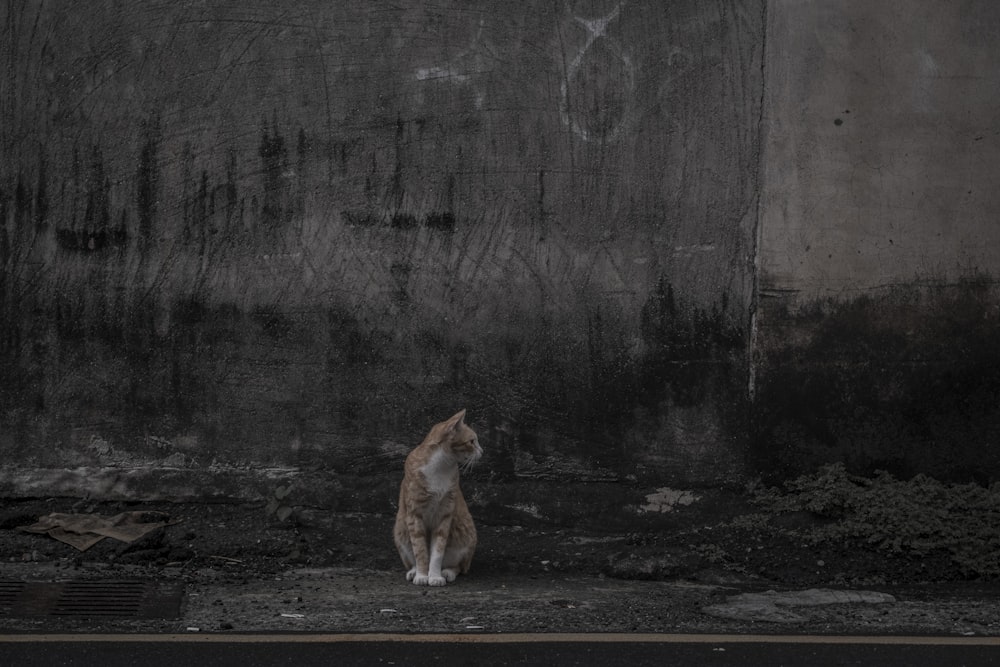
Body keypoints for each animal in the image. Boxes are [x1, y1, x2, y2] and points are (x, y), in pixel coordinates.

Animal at [392, 410, 482, 588]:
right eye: (472, 441)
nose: (482, 451)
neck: (441, 467)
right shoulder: (415, 515)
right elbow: (420, 549)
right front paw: (422, 575)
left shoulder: (444, 515)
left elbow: (438, 551)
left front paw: (434, 576)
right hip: (400, 531)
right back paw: (413, 571)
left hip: (466, 537)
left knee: (459, 566)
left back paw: (447, 572)